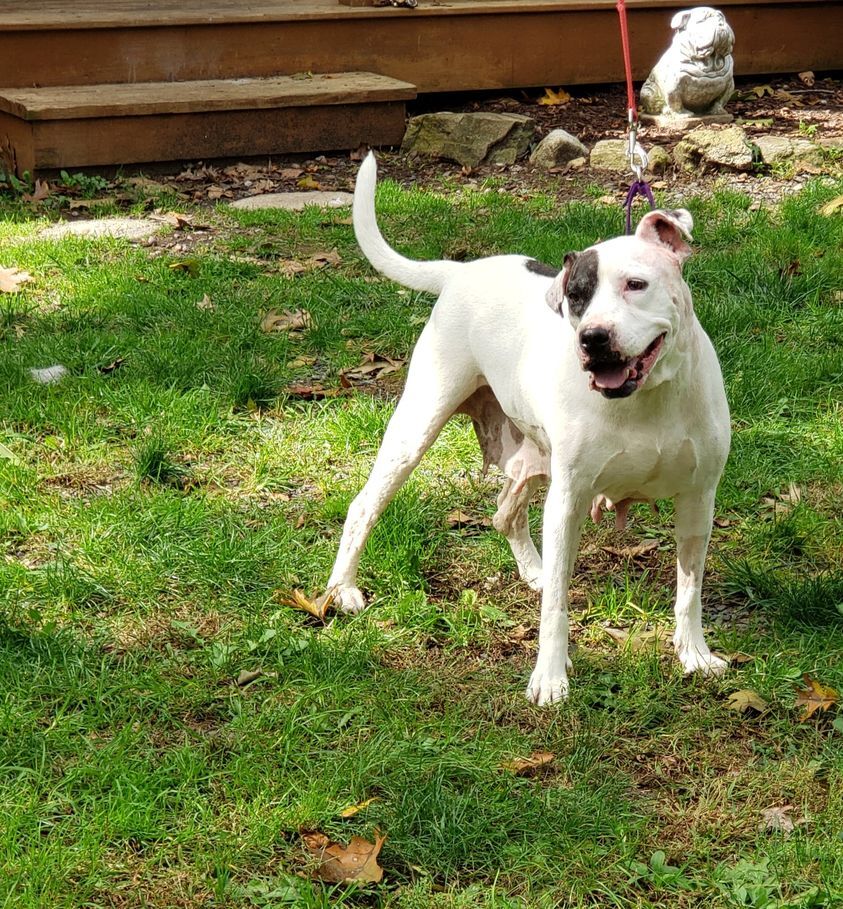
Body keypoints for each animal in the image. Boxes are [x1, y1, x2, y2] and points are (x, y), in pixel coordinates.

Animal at [326, 156, 728, 704]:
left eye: (636, 284)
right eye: (576, 298)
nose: (592, 338)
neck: (648, 399)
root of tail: (463, 269)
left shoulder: (698, 499)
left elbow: (689, 591)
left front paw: (694, 655)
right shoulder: (569, 500)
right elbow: (557, 606)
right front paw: (551, 677)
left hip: (532, 457)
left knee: (505, 512)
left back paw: (533, 569)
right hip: (416, 428)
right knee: (365, 505)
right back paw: (341, 589)